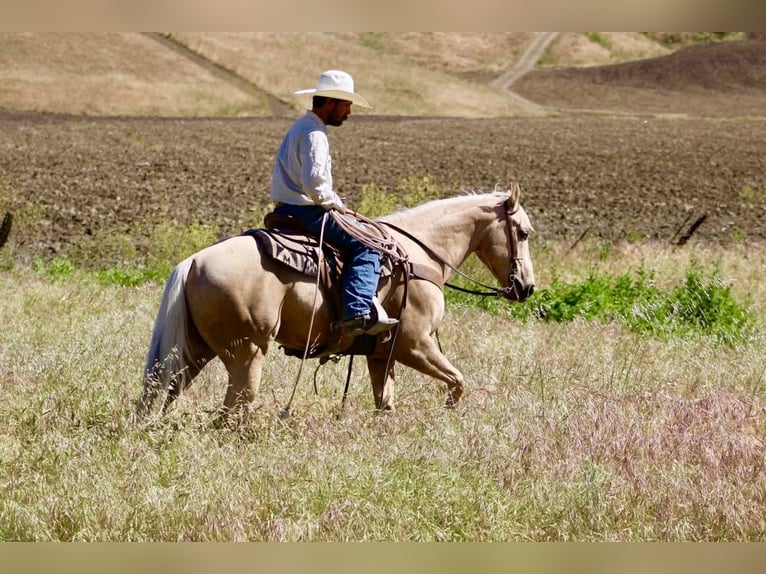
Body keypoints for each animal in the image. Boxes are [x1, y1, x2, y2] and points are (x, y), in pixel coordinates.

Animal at [134, 183, 535, 420]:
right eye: (523, 233)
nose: (527, 287)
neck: (418, 254)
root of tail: (194, 261)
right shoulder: (415, 344)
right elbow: (457, 382)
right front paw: (447, 412)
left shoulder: (382, 354)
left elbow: (385, 405)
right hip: (246, 354)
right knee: (232, 412)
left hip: (193, 352)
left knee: (159, 395)